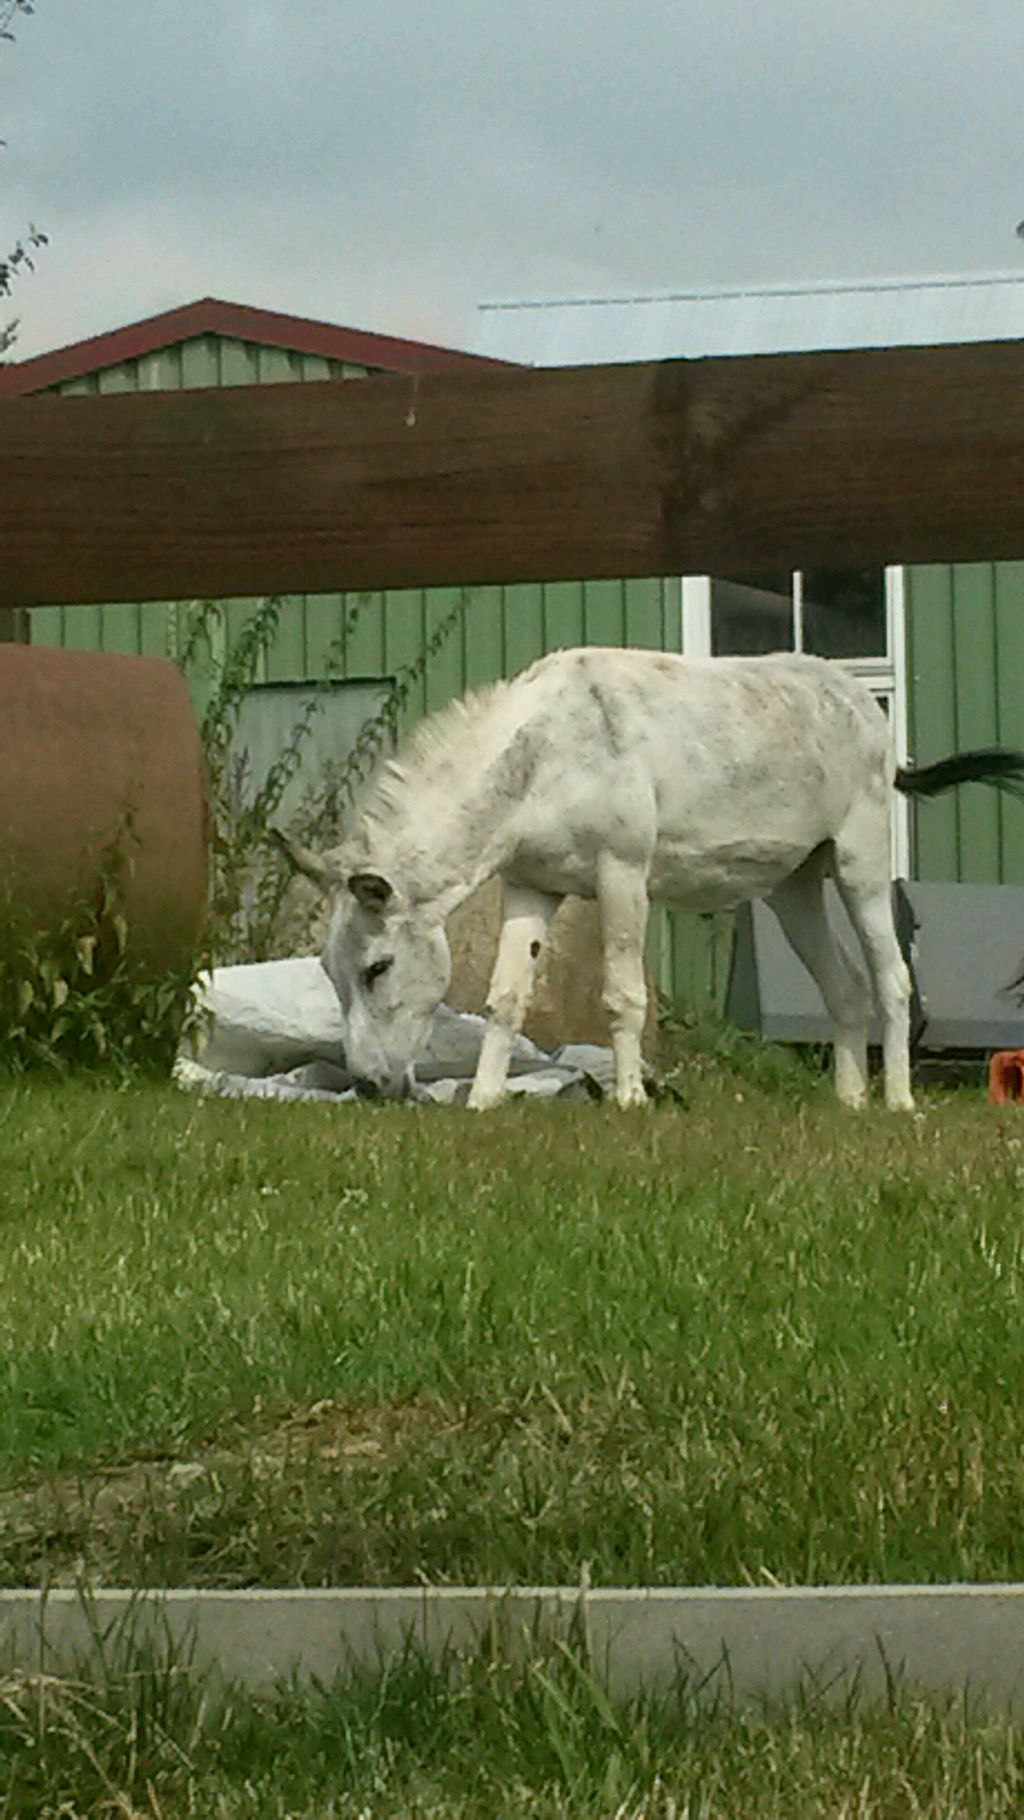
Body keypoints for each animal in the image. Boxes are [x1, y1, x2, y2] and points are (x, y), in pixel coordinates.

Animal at [283, 647, 1024, 1113]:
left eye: (377, 969)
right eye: (329, 974)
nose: (369, 1088)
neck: (543, 759)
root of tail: (861, 704)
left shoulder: (622, 874)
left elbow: (621, 994)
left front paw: (631, 1099)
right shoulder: (531, 888)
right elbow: (506, 998)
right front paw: (486, 1099)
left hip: (859, 863)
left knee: (890, 979)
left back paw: (897, 1101)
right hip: (793, 888)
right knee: (843, 985)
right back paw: (848, 1102)